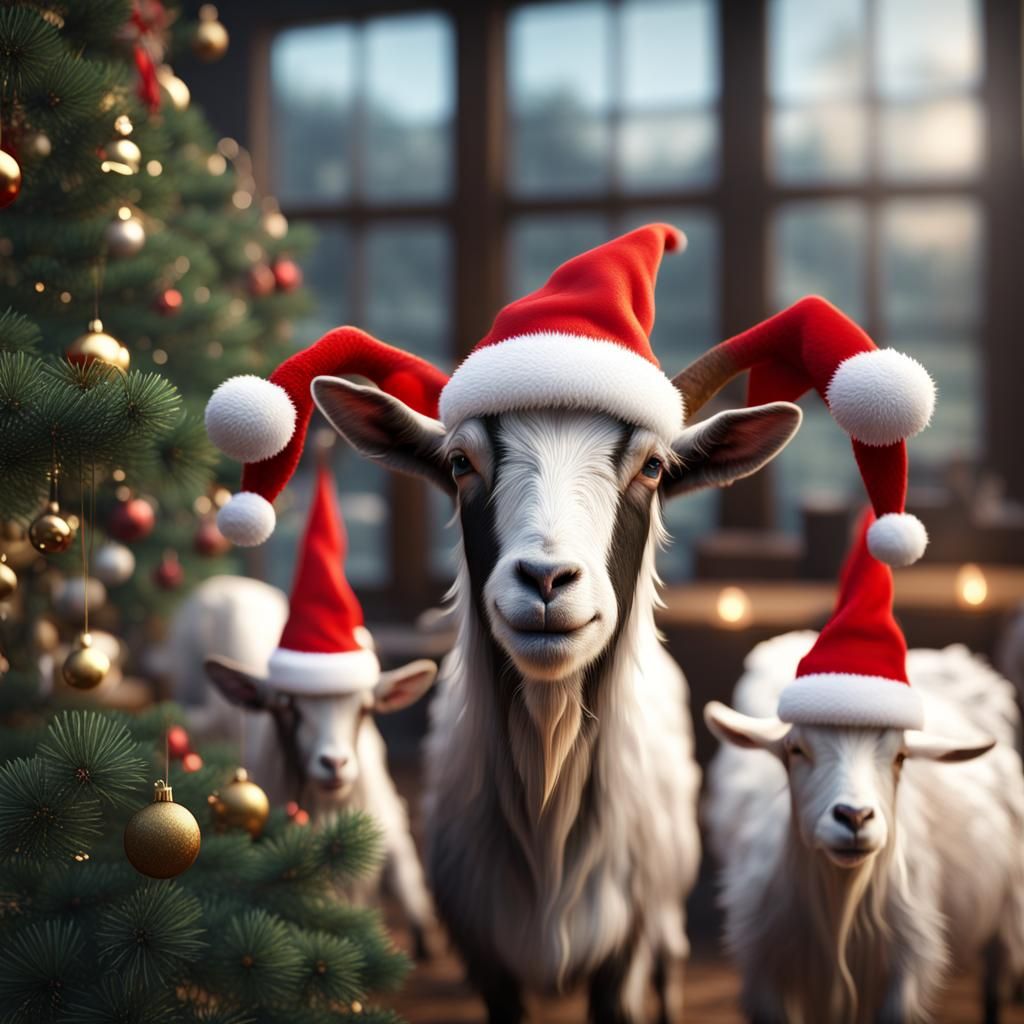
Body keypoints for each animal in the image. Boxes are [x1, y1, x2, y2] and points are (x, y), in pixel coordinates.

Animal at [705, 630, 1024, 1024]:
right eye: (796, 749)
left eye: (900, 756)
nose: (854, 817)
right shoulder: (767, 968)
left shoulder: (905, 969)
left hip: (1007, 909)